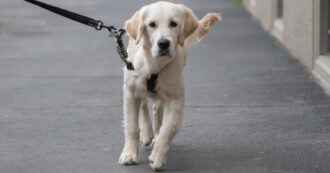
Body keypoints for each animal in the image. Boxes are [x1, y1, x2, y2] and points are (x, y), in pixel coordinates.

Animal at [117, 1, 220, 172]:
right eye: (152, 24)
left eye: (173, 24)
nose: (164, 43)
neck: (154, 65)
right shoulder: (130, 91)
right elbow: (132, 127)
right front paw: (129, 154)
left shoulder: (176, 99)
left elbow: (169, 128)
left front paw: (158, 157)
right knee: (143, 106)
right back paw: (147, 132)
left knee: (157, 111)